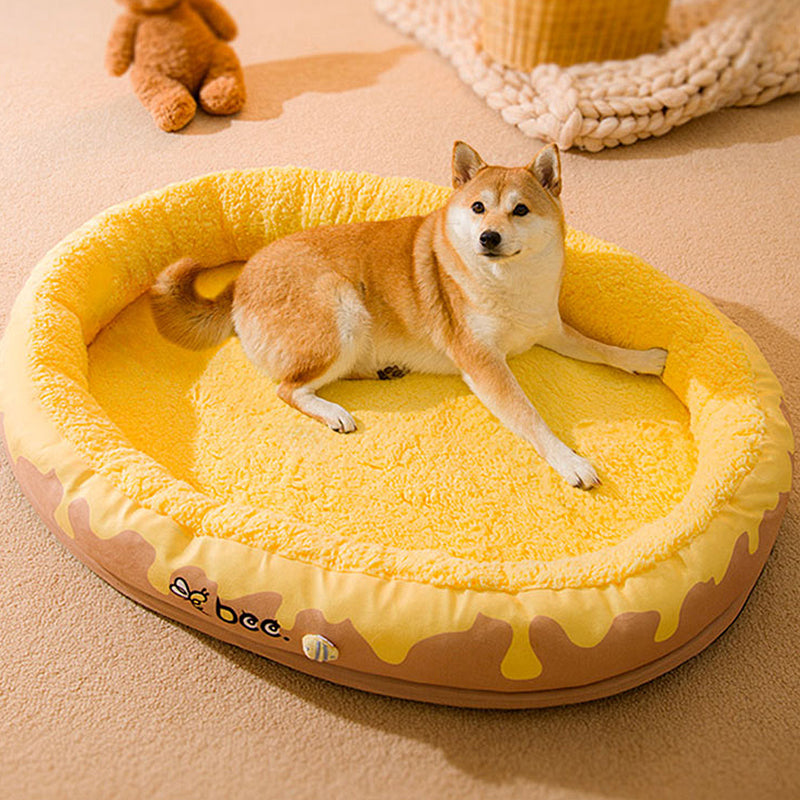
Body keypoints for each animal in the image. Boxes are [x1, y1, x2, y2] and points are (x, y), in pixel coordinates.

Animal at [150, 143, 666, 489]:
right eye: (478, 207)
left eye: (520, 210)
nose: (488, 237)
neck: (508, 285)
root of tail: (240, 283)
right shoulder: (483, 362)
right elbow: (530, 417)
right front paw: (569, 459)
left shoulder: (549, 329)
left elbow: (601, 349)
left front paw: (644, 358)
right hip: (343, 307)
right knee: (289, 388)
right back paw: (335, 411)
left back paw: (382, 370)